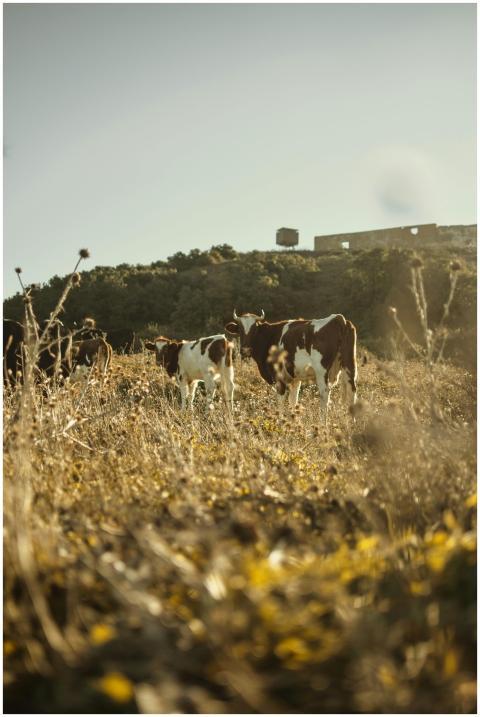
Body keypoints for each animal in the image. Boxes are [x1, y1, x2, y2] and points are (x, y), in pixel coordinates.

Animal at [224, 310, 357, 420]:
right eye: (240, 330)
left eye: (255, 329)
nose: (245, 350)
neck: (270, 336)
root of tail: (338, 318)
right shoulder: (295, 378)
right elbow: (293, 400)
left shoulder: (278, 377)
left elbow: (281, 400)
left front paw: (280, 422)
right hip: (349, 365)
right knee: (352, 392)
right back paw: (352, 423)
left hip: (321, 370)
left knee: (325, 393)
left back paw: (322, 423)